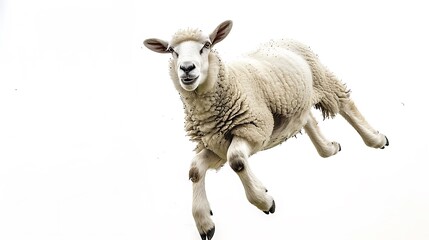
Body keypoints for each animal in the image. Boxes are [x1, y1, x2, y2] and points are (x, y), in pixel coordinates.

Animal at [144, 19, 388, 239]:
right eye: (172, 51)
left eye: (207, 45)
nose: (187, 68)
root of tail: (283, 36)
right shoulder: (216, 145)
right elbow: (195, 170)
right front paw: (204, 222)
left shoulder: (253, 130)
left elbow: (237, 160)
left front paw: (264, 200)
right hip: (296, 100)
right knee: (308, 119)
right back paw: (329, 147)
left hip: (322, 78)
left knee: (346, 105)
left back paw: (376, 139)